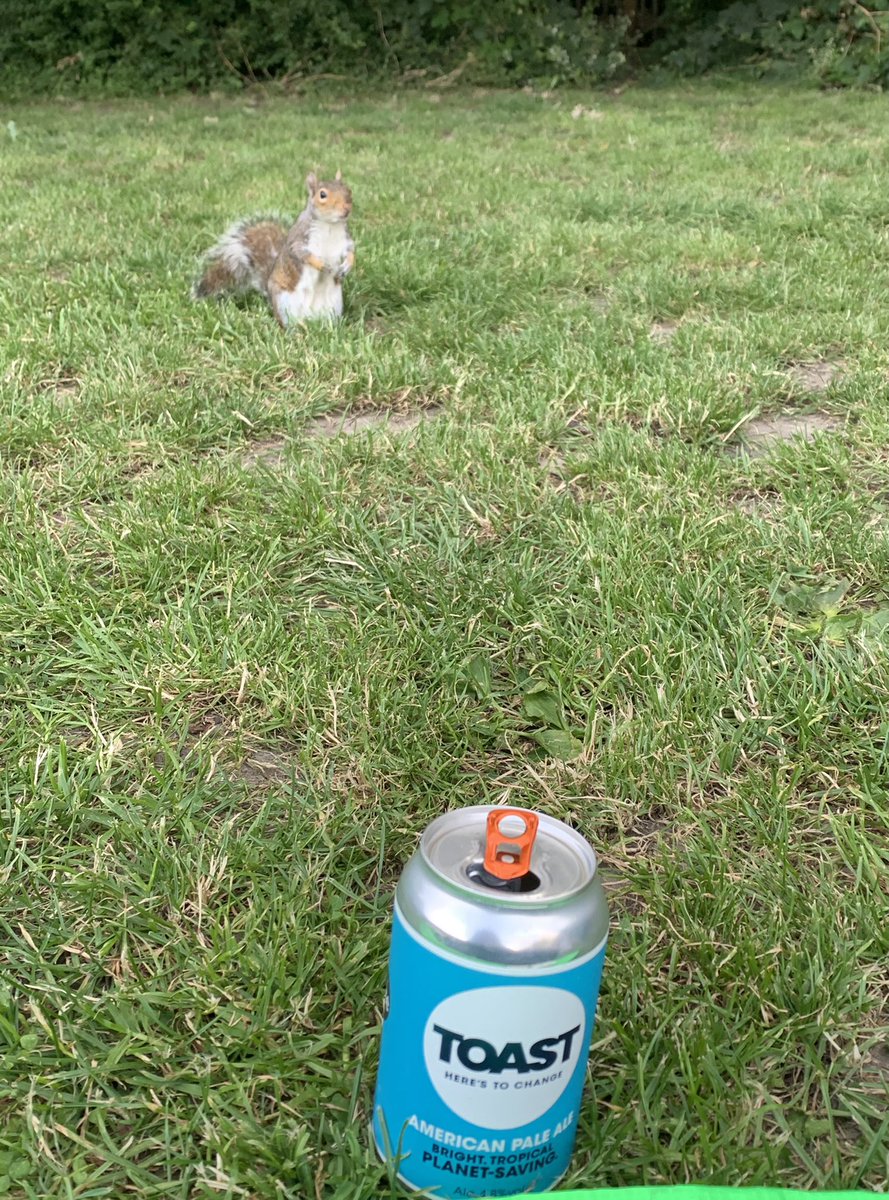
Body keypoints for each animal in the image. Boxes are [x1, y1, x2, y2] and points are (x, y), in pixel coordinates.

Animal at [193, 171, 354, 327]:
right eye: (322, 195)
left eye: (348, 190)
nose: (347, 209)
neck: (330, 225)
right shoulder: (299, 239)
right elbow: (302, 254)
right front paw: (322, 265)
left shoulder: (345, 239)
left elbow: (351, 251)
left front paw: (347, 265)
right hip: (284, 303)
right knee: (288, 323)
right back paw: (299, 328)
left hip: (334, 303)